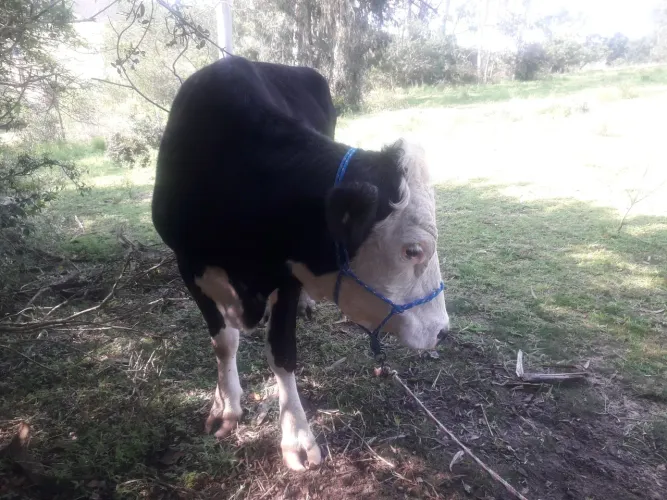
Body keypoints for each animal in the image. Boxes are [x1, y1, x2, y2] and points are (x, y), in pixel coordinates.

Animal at [151, 55, 449, 471]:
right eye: (413, 250)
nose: (443, 331)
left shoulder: (288, 274)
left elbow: (282, 352)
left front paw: (296, 437)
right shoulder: (188, 264)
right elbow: (223, 341)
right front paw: (225, 405)